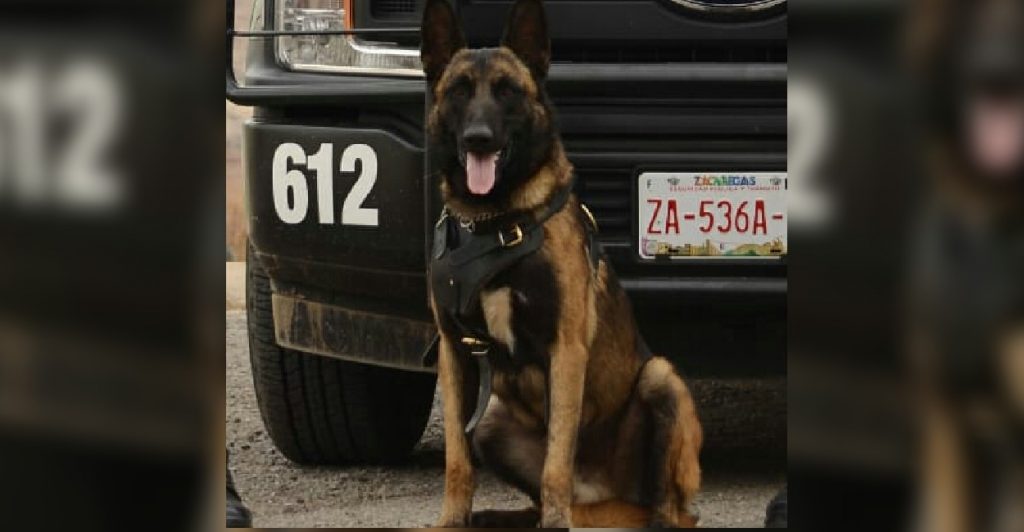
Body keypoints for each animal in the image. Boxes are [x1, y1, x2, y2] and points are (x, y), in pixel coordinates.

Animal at [419, 0, 700, 523]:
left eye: (508, 92)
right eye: (459, 91)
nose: (478, 139)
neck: (496, 221)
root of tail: (601, 497)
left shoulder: (565, 351)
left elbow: (556, 461)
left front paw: (553, 523)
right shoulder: (454, 352)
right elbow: (457, 461)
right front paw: (453, 521)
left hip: (661, 379)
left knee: (670, 510)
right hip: (491, 419)